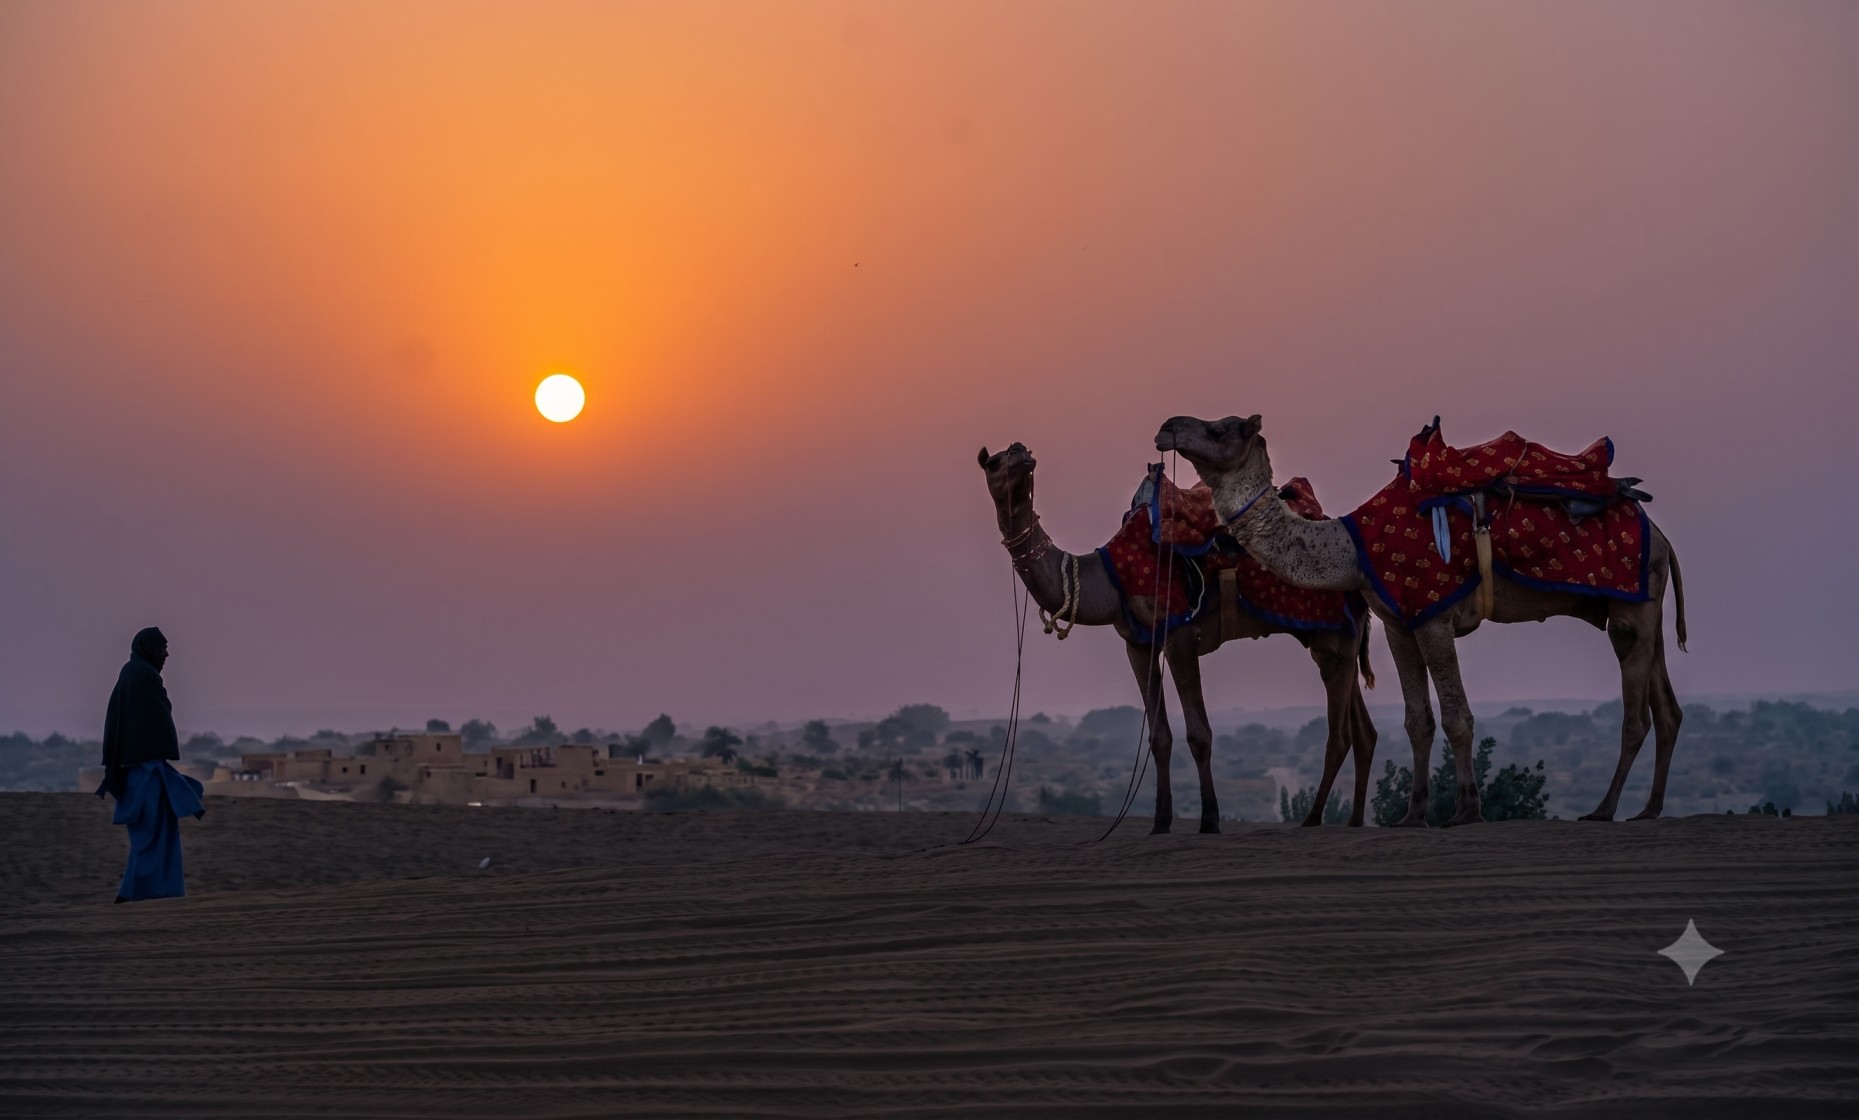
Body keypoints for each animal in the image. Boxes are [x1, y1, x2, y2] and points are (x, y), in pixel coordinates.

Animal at [978, 442, 1378, 831]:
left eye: (1017, 453)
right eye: (994, 462)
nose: (1021, 453)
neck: (1109, 579)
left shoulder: (1180, 636)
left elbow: (1199, 734)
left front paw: (1210, 820)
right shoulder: (1137, 644)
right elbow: (1159, 737)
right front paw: (1160, 822)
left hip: (1334, 636)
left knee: (1340, 735)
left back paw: (1312, 818)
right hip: (1332, 639)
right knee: (1364, 732)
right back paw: (1355, 821)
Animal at [1154, 415, 1688, 826]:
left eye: (1219, 428)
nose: (1166, 428)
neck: (1351, 548)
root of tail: (1663, 536)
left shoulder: (1433, 616)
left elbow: (1456, 717)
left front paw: (1466, 811)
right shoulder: (1397, 624)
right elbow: (1418, 721)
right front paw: (1413, 815)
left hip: (1631, 611)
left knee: (1636, 714)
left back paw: (1604, 809)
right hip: (1644, 605)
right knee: (1667, 707)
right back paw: (1649, 809)